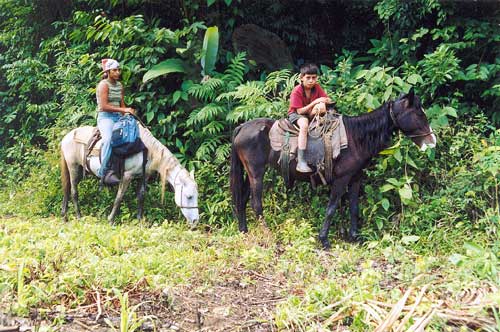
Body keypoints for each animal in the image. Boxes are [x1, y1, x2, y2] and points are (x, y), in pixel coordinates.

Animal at [59, 125, 198, 226]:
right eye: (189, 196)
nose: (196, 221)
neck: (147, 150)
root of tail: (66, 137)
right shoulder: (127, 176)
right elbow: (119, 197)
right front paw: (111, 220)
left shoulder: (144, 176)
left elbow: (141, 196)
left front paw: (140, 220)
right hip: (73, 167)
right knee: (74, 192)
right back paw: (79, 216)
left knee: (66, 189)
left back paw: (64, 217)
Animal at [230, 89, 438, 248]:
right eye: (419, 114)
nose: (432, 141)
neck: (355, 138)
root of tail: (241, 127)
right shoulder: (341, 179)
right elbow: (331, 208)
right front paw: (324, 240)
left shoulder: (355, 178)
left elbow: (354, 207)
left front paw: (355, 237)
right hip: (256, 173)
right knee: (256, 204)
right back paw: (268, 235)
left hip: (249, 173)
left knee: (242, 200)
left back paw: (243, 231)